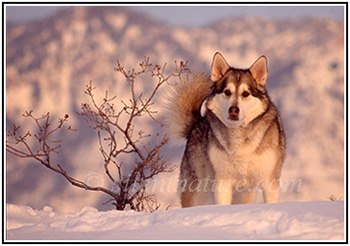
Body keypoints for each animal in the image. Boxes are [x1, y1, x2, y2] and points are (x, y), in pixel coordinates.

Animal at [167, 52, 284, 208]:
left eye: (246, 94)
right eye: (227, 92)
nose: (233, 110)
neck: (239, 135)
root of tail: (197, 123)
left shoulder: (269, 181)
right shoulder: (222, 181)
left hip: (245, 194)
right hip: (198, 189)